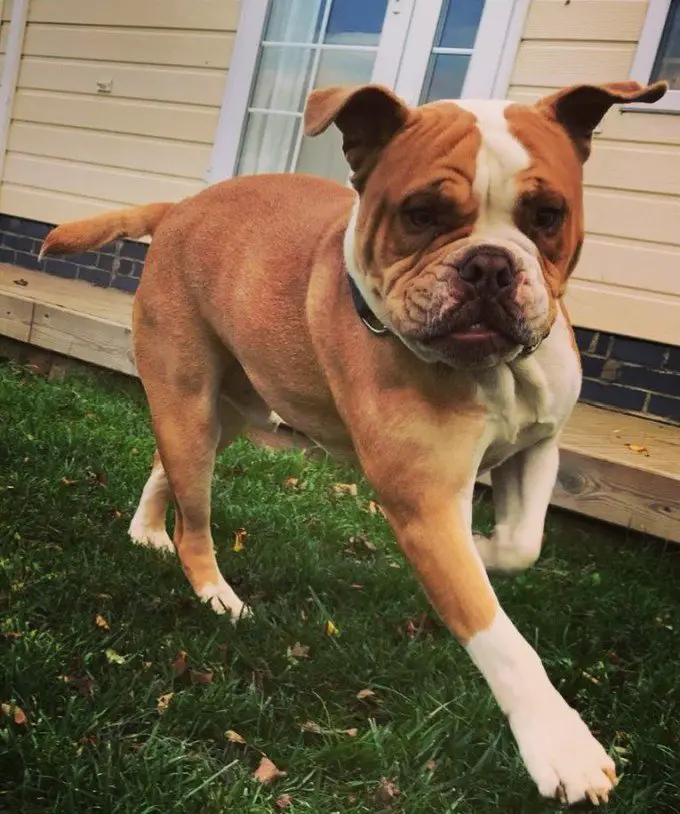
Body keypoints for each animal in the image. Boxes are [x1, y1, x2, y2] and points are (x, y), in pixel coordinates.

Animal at [39, 79, 668, 808]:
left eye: (547, 216)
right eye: (420, 215)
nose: (488, 265)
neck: (491, 371)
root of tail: (177, 209)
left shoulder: (537, 446)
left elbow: (522, 543)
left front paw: (485, 546)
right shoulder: (423, 500)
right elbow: (496, 632)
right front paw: (561, 746)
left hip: (225, 409)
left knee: (166, 463)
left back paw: (145, 528)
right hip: (190, 402)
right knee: (195, 523)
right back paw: (218, 594)